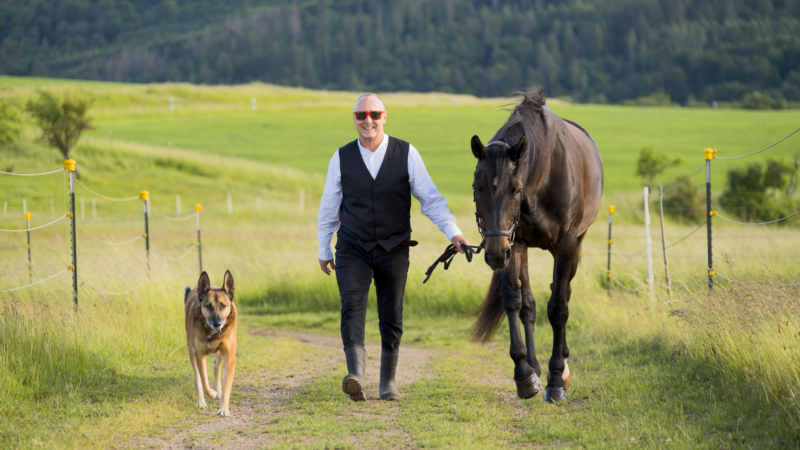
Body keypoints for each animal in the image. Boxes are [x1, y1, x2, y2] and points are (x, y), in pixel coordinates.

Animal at [184, 268, 238, 416]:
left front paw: (223, 408)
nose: (217, 324)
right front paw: (212, 394)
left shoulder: (230, 356)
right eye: (208, 306)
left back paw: (217, 389)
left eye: (223, 305)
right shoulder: (200, 355)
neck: (212, 333)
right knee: (198, 378)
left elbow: (227, 386)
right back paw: (202, 401)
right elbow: (203, 381)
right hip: (191, 350)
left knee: (216, 366)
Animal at [468, 86, 600, 402]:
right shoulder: (513, 244)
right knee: (528, 303)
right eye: (478, 189)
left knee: (564, 293)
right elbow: (514, 301)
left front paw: (557, 379)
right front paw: (524, 374)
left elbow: (559, 308)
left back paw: (561, 363)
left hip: (574, 246)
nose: (493, 255)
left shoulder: (566, 245)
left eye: (515, 189)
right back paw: (535, 367)